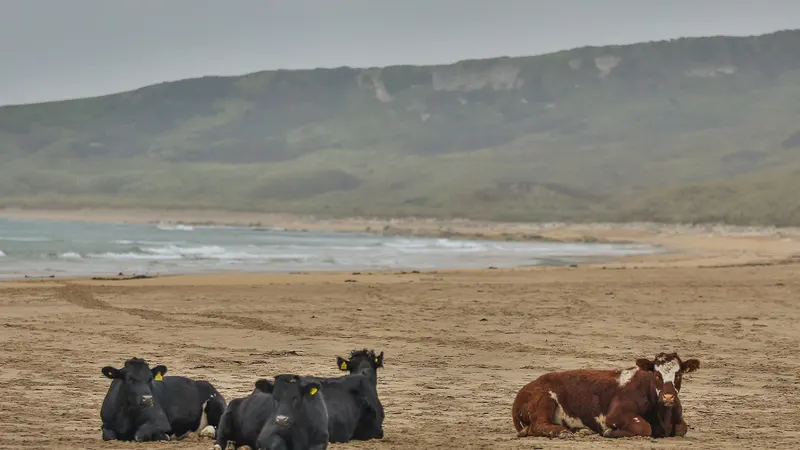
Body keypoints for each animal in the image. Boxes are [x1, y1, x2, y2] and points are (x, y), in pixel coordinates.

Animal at [512, 352, 700, 439]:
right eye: (657, 375)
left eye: (679, 374)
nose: (668, 397)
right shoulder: (615, 414)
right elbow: (644, 427)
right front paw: (610, 432)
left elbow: (682, 428)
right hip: (545, 399)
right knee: (538, 425)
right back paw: (563, 431)